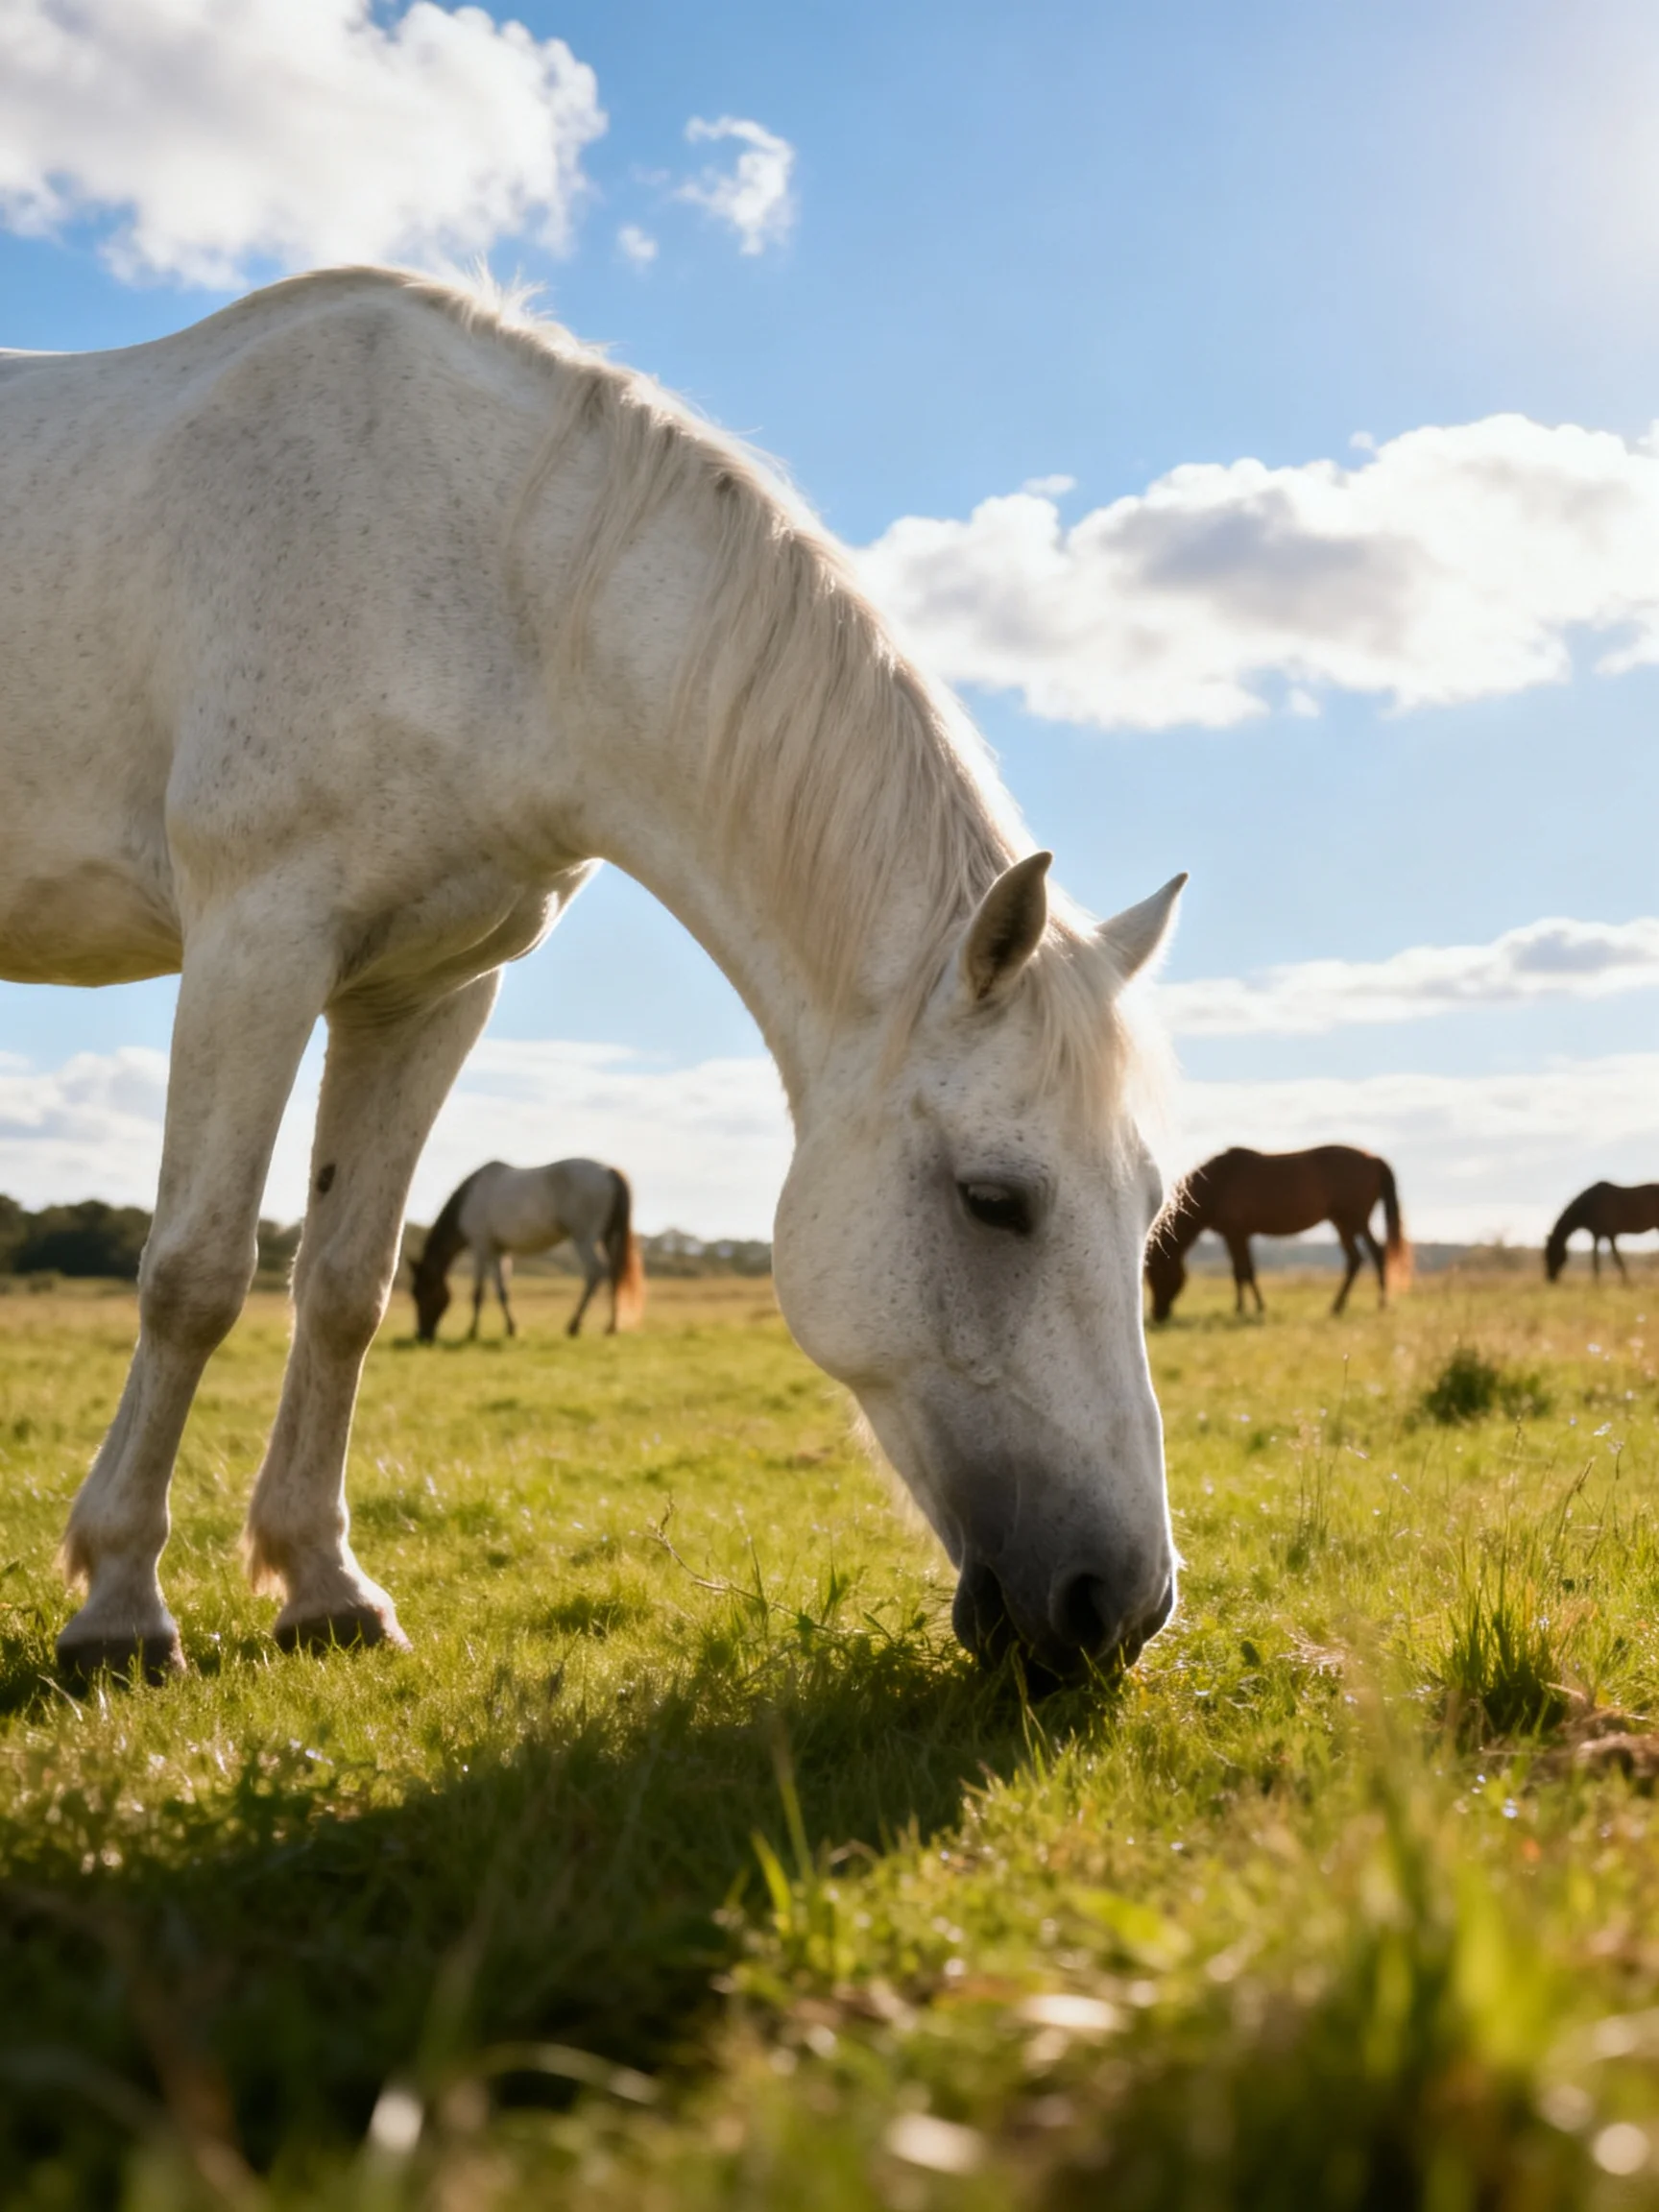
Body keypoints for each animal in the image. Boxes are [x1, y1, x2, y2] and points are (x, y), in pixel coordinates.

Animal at [411, 1158, 644, 1341]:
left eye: (420, 1293)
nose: (422, 1335)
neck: (469, 1198)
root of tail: (608, 1171)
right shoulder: (500, 1251)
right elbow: (502, 1291)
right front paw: (511, 1329)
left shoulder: (481, 1247)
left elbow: (478, 1293)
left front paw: (472, 1332)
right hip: (608, 1236)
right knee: (614, 1273)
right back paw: (612, 1326)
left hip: (584, 1237)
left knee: (596, 1271)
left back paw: (574, 1325)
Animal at [1147, 1145, 1410, 1322]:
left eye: (1157, 1274)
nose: (1157, 1314)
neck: (1218, 1183)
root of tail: (1373, 1159)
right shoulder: (1239, 1235)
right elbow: (1243, 1272)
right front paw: (1249, 1307)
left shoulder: (1235, 1234)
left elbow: (1243, 1272)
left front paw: (1247, 1308)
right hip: (1343, 1223)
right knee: (1356, 1259)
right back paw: (1339, 1306)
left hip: (1353, 1221)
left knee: (1375, 1254)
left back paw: (1378, 1303)